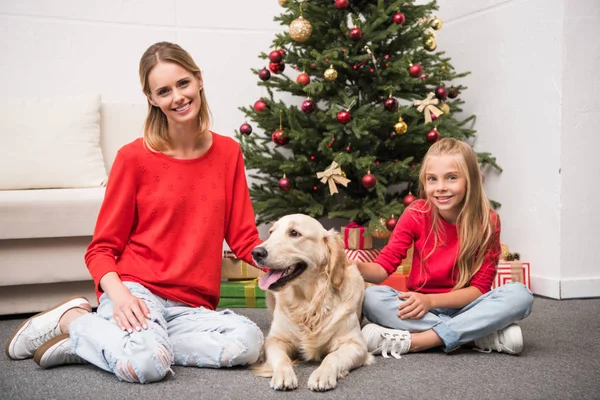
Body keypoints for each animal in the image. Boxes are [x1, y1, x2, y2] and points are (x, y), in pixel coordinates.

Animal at [248, 214, 370, 392]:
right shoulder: (275, 340)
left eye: (294, 233)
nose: (256, 252)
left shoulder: (356, 344)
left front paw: (322, 374)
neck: (308, 303)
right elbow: (281, 358)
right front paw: (283, 374)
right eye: (271, 232)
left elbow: (333, 356)